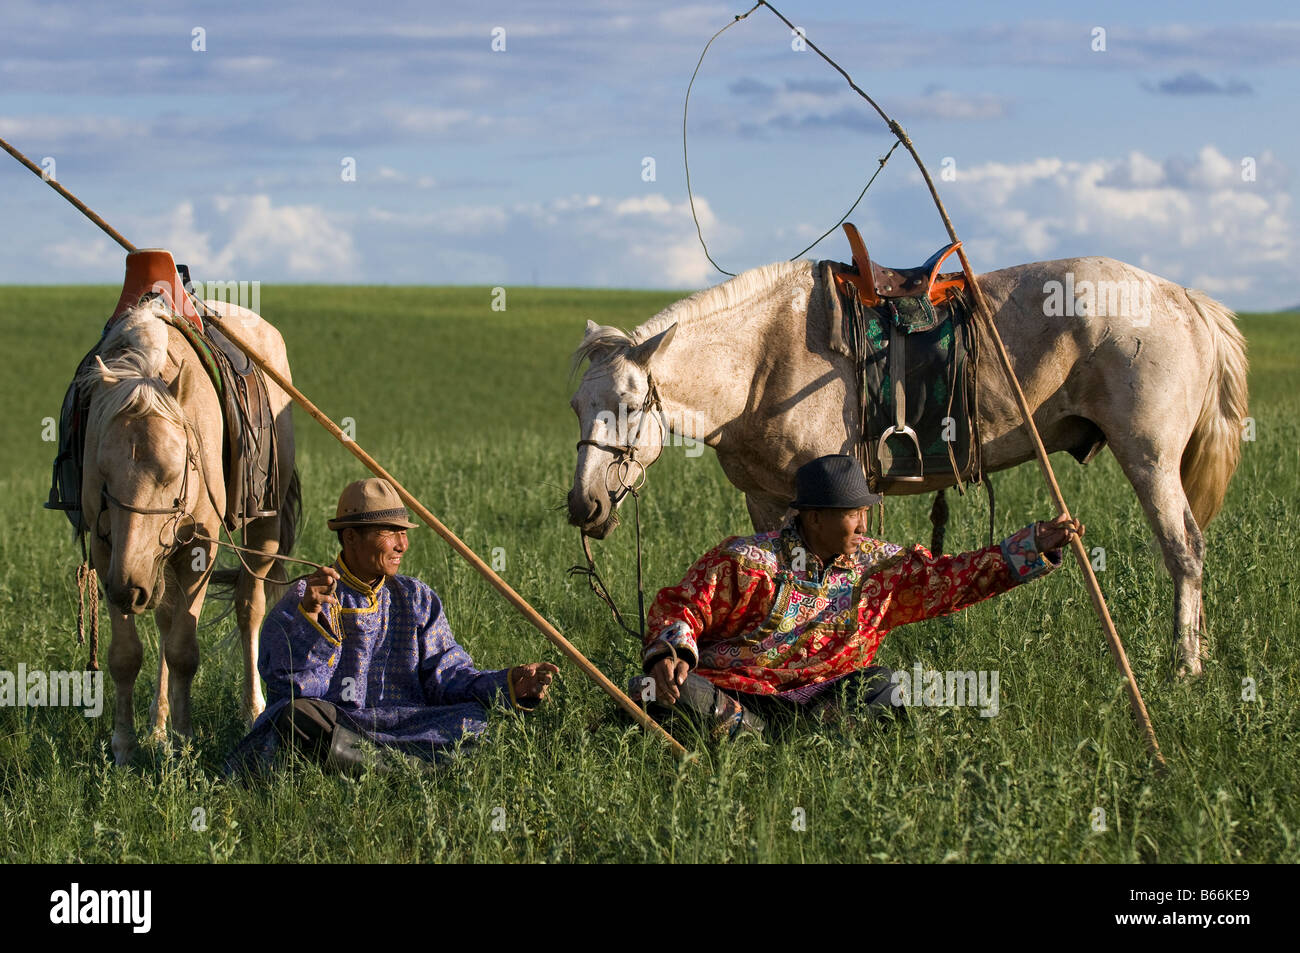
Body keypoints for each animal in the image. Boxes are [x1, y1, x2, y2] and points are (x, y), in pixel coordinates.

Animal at [77, 298, 298, 765]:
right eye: (103, 477)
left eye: (171, 473)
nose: (128, 589)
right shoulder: (109, 555)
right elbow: (126, 655)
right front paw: (126, 745)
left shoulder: (200, 550)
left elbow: (183, 651)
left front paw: (184, 745)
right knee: (165, 618)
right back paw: (158, 725)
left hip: (263, 532)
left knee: (248, 608)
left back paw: (252, 710)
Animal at [566, 256, 1248, 678]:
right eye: (577, 406)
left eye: (630, 405)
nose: (583, 505)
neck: (762, 360)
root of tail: (1181, 297)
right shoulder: (766, 499)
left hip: (1149, 457)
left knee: (1185, 550)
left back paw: (1184, 666)